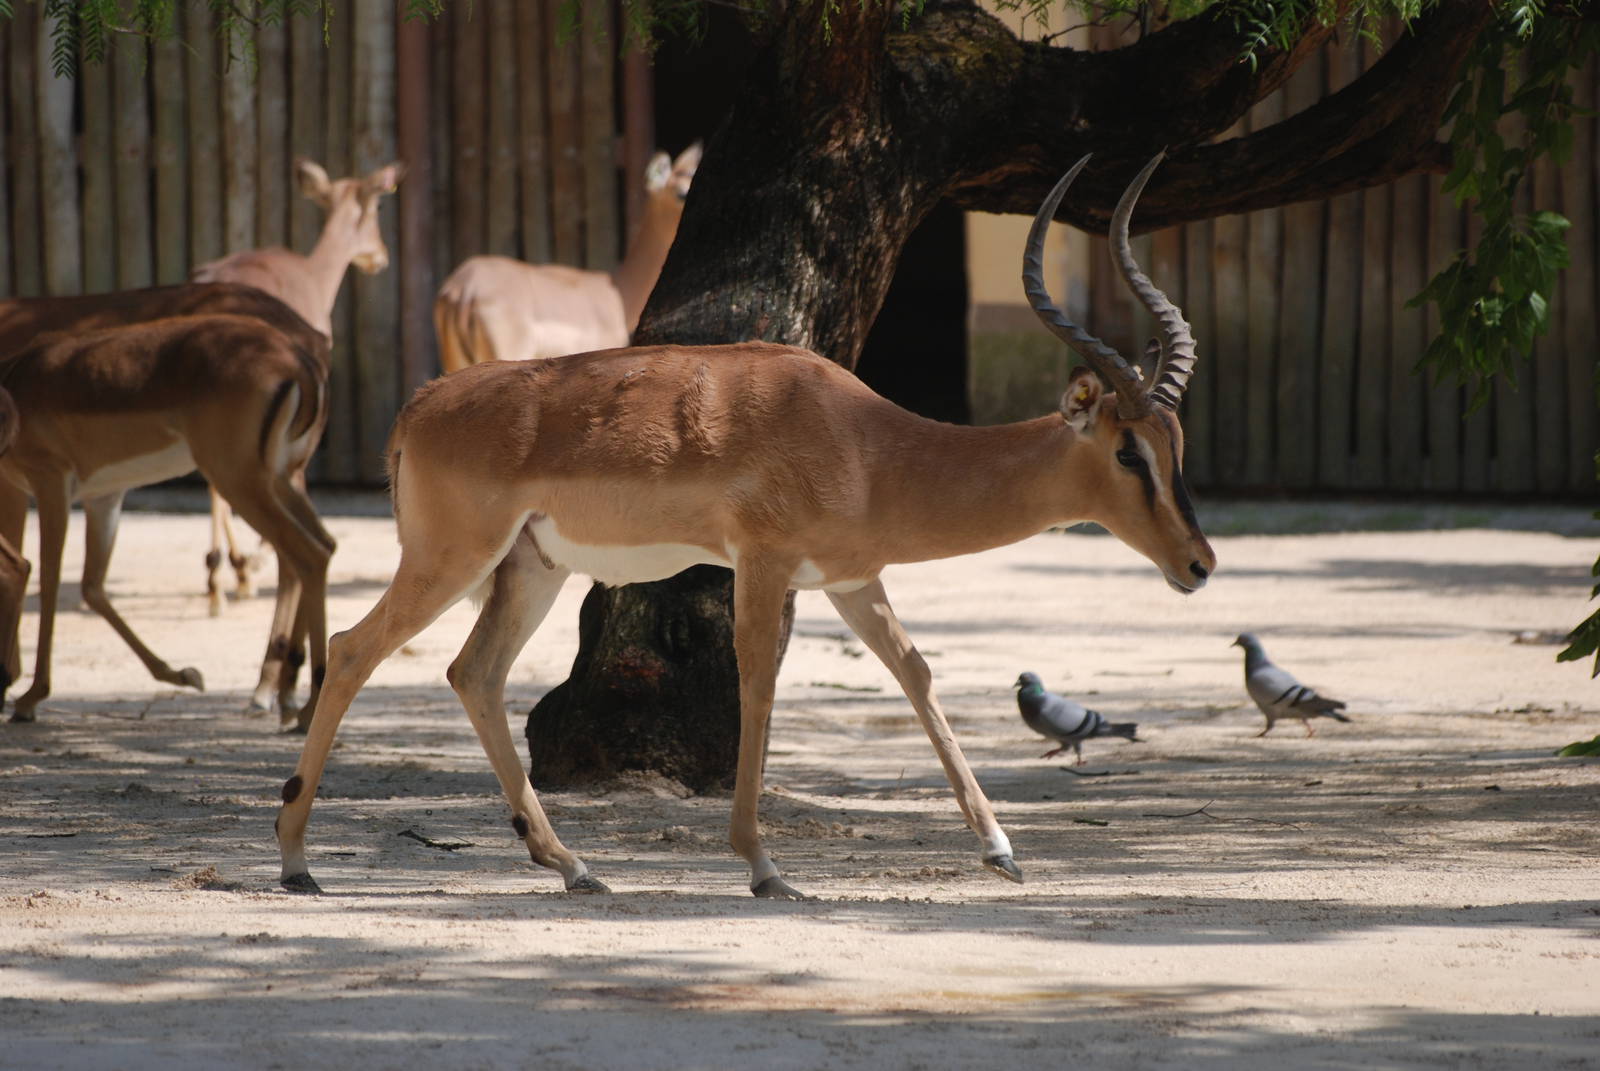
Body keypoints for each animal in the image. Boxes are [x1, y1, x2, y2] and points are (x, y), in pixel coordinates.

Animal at [0, 282, 333, 721]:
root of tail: (300, 360)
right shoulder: (103, 496)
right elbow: (92, 586)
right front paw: (183, 674)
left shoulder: (47, 484)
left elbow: (44, 578)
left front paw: (29, 695)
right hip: (279, 481)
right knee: (322, 547)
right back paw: (289, 698)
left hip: (238, 481)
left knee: (305, 556)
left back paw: (303, 703)